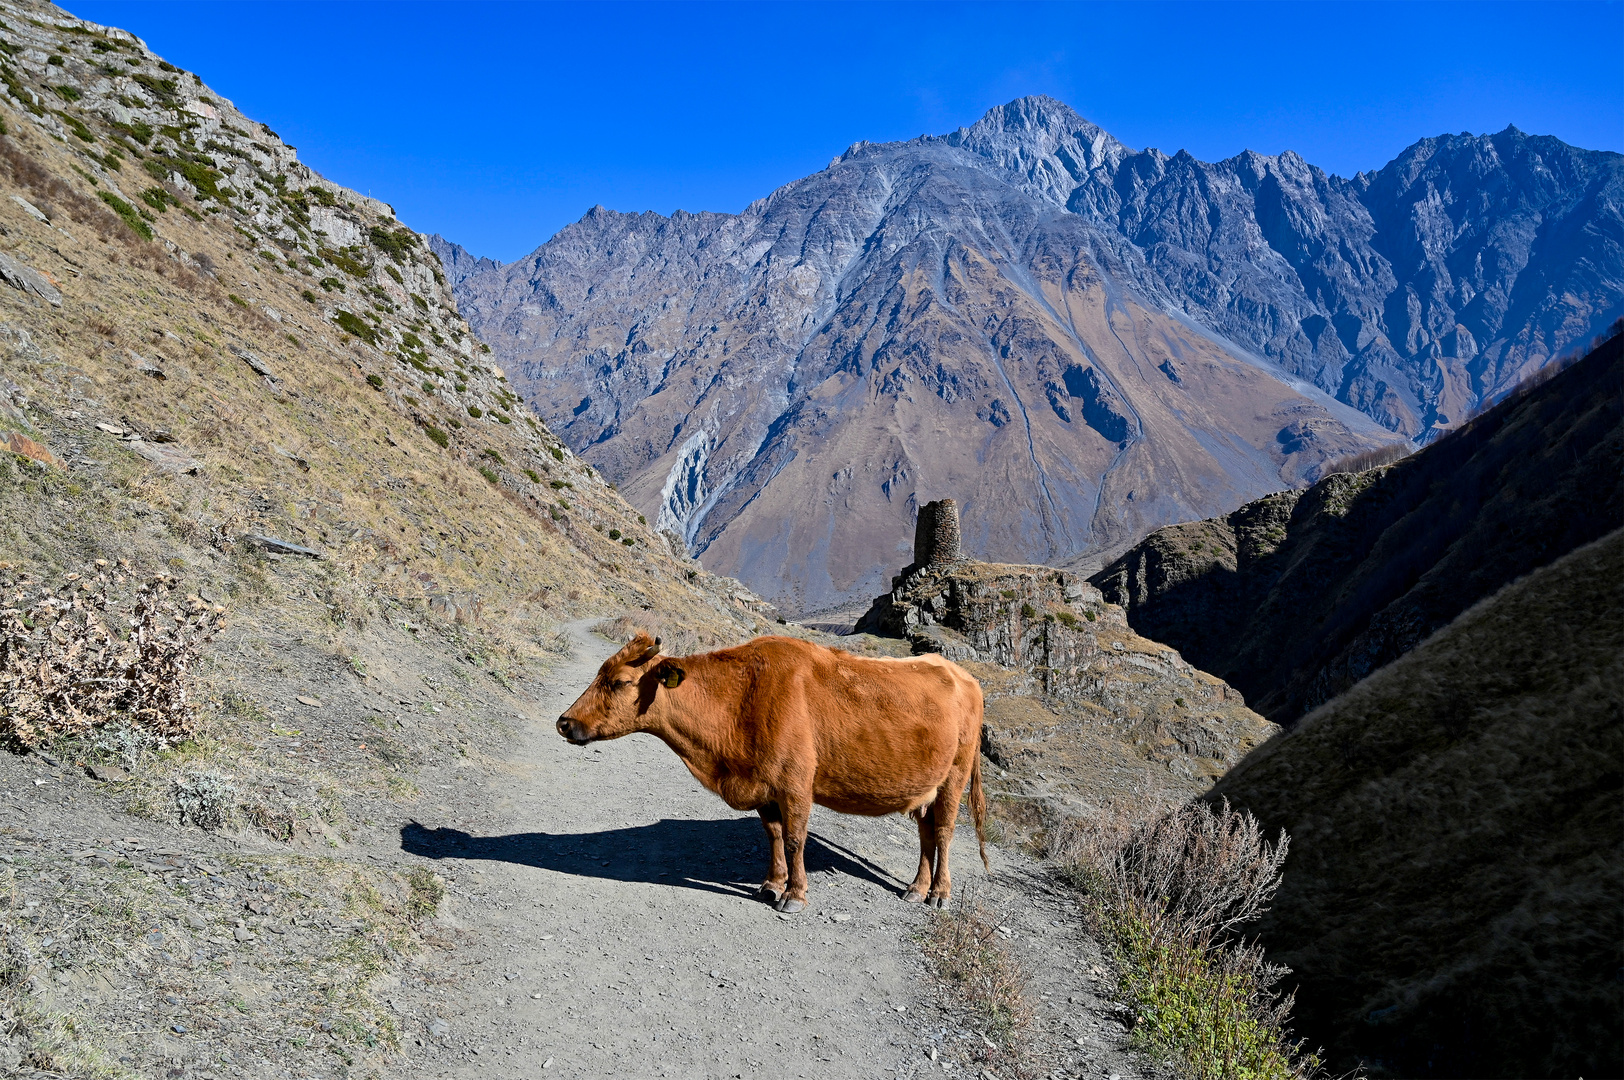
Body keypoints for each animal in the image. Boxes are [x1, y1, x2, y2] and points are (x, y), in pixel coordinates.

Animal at [558, 633, 987, 909]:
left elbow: (796, 838)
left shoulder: (796, 783)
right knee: (926, 834)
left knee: (944, 832)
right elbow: (775, 836)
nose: (564, 722)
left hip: (955, 775)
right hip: (925, 786)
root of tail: (962, 675)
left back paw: (939, 893)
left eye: (619, 682)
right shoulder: (763, 785)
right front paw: (771, 884)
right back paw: (916, 887)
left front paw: (794, 895)